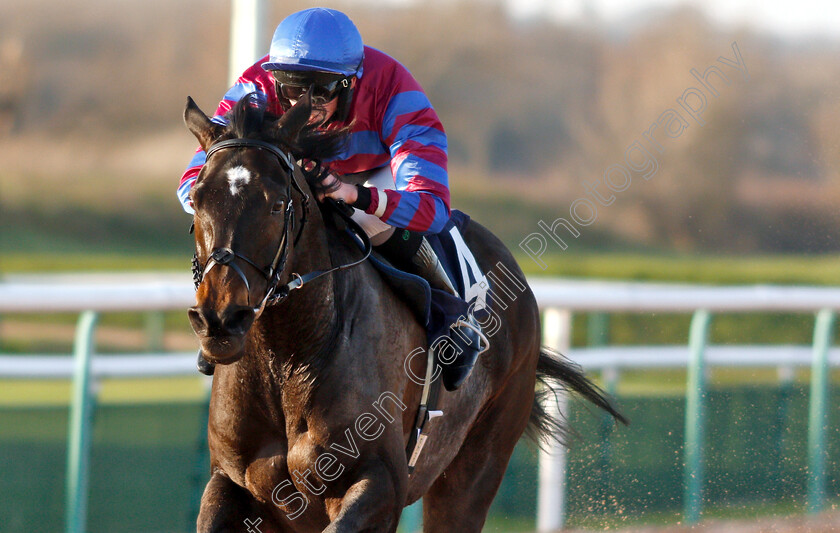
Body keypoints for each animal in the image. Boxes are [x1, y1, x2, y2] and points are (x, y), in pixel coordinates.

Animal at [187, 93, 628, 528]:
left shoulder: (381, 481)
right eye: (196, 199)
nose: (220, 319)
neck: (290, 355)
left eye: (278, 204)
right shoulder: (233, 482)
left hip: (475, 466)